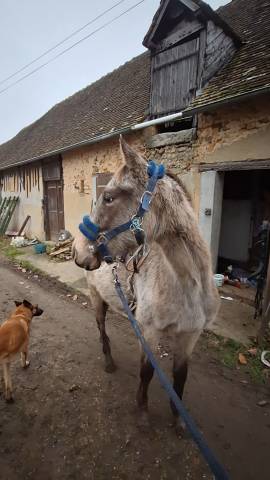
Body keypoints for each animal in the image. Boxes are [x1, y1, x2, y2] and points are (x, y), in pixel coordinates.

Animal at [72, 137, 219, 430]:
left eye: (109, 197)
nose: (77, 250)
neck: (187, 288)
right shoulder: (150, 331)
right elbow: (147, 371)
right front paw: (142, 411)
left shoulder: (190, 336)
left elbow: (180, 375)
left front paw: (178, 418)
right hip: (96, 298)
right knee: (101, 328)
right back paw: (108, 361)